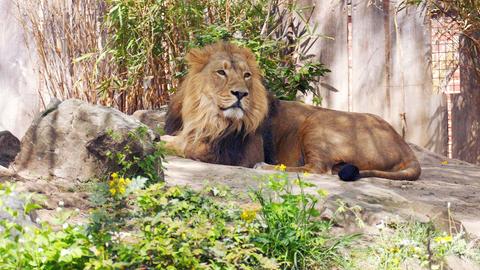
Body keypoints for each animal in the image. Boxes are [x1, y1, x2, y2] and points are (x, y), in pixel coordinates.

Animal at [164, 42, 420, 180]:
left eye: (246, 75)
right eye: (221, 72)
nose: (241, 94)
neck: (205, 114)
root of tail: (405, 146)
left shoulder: (240, 154)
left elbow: (187, 147)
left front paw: (164, 141)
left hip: (317, 122)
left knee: (318, 169)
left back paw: (266, 167)